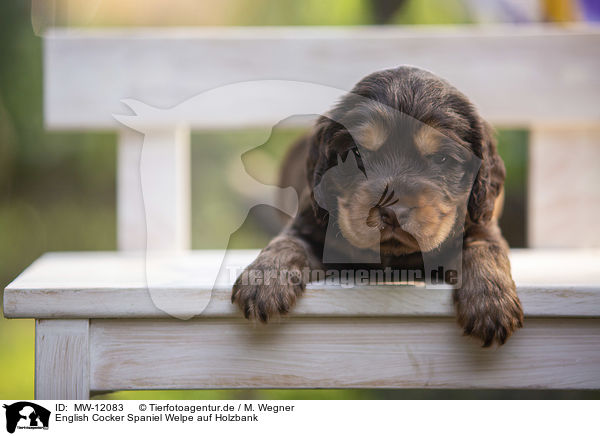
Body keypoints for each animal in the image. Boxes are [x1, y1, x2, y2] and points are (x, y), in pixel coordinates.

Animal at [232, 65, 524, 348]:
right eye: (356, 155)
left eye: (441, 158)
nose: (393, 212)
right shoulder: (309, 224)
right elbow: (287, 243)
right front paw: (263, 280)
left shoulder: (481, 224)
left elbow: (484, 247)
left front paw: (491, 302)